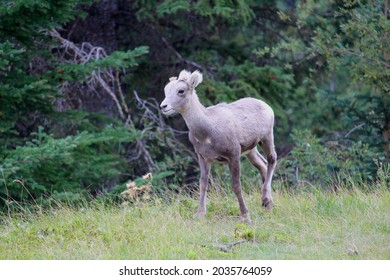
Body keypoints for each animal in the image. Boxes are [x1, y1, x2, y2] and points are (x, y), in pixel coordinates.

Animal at [160, 69, 276, 221]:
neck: (207, 133)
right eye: (166, 89)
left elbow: (236, 185)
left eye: (181, 90)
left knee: (272, 159)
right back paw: (267, 204)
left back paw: (266, 199)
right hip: (250, 150)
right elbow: (203, 184)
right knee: (262, 165)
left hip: (267, 137)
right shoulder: (203, 157)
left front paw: (245, 215)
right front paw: (200, 214)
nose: (163, 106)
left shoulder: (233, 155)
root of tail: (267, 106)